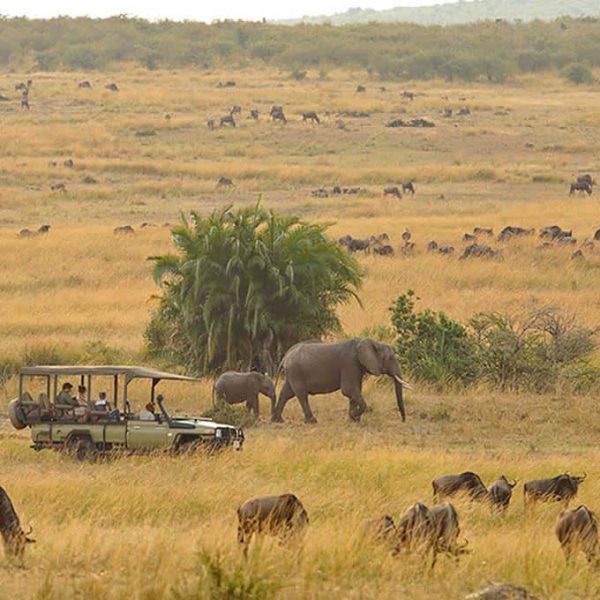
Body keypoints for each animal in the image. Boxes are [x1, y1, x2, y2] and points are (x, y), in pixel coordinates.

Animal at [270, 340, 408, 424]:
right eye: (390, 358)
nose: (402, 420)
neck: (371, 342)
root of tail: (286, 356)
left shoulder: (357, 367)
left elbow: (354, 391)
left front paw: (353, 419)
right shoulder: (350, 363)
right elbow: (349, 390)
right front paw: (354, 417)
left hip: (292, 372)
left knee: (286, 393)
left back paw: (278, 420)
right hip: (296, 371)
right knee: (301, 394)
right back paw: (312, 421)